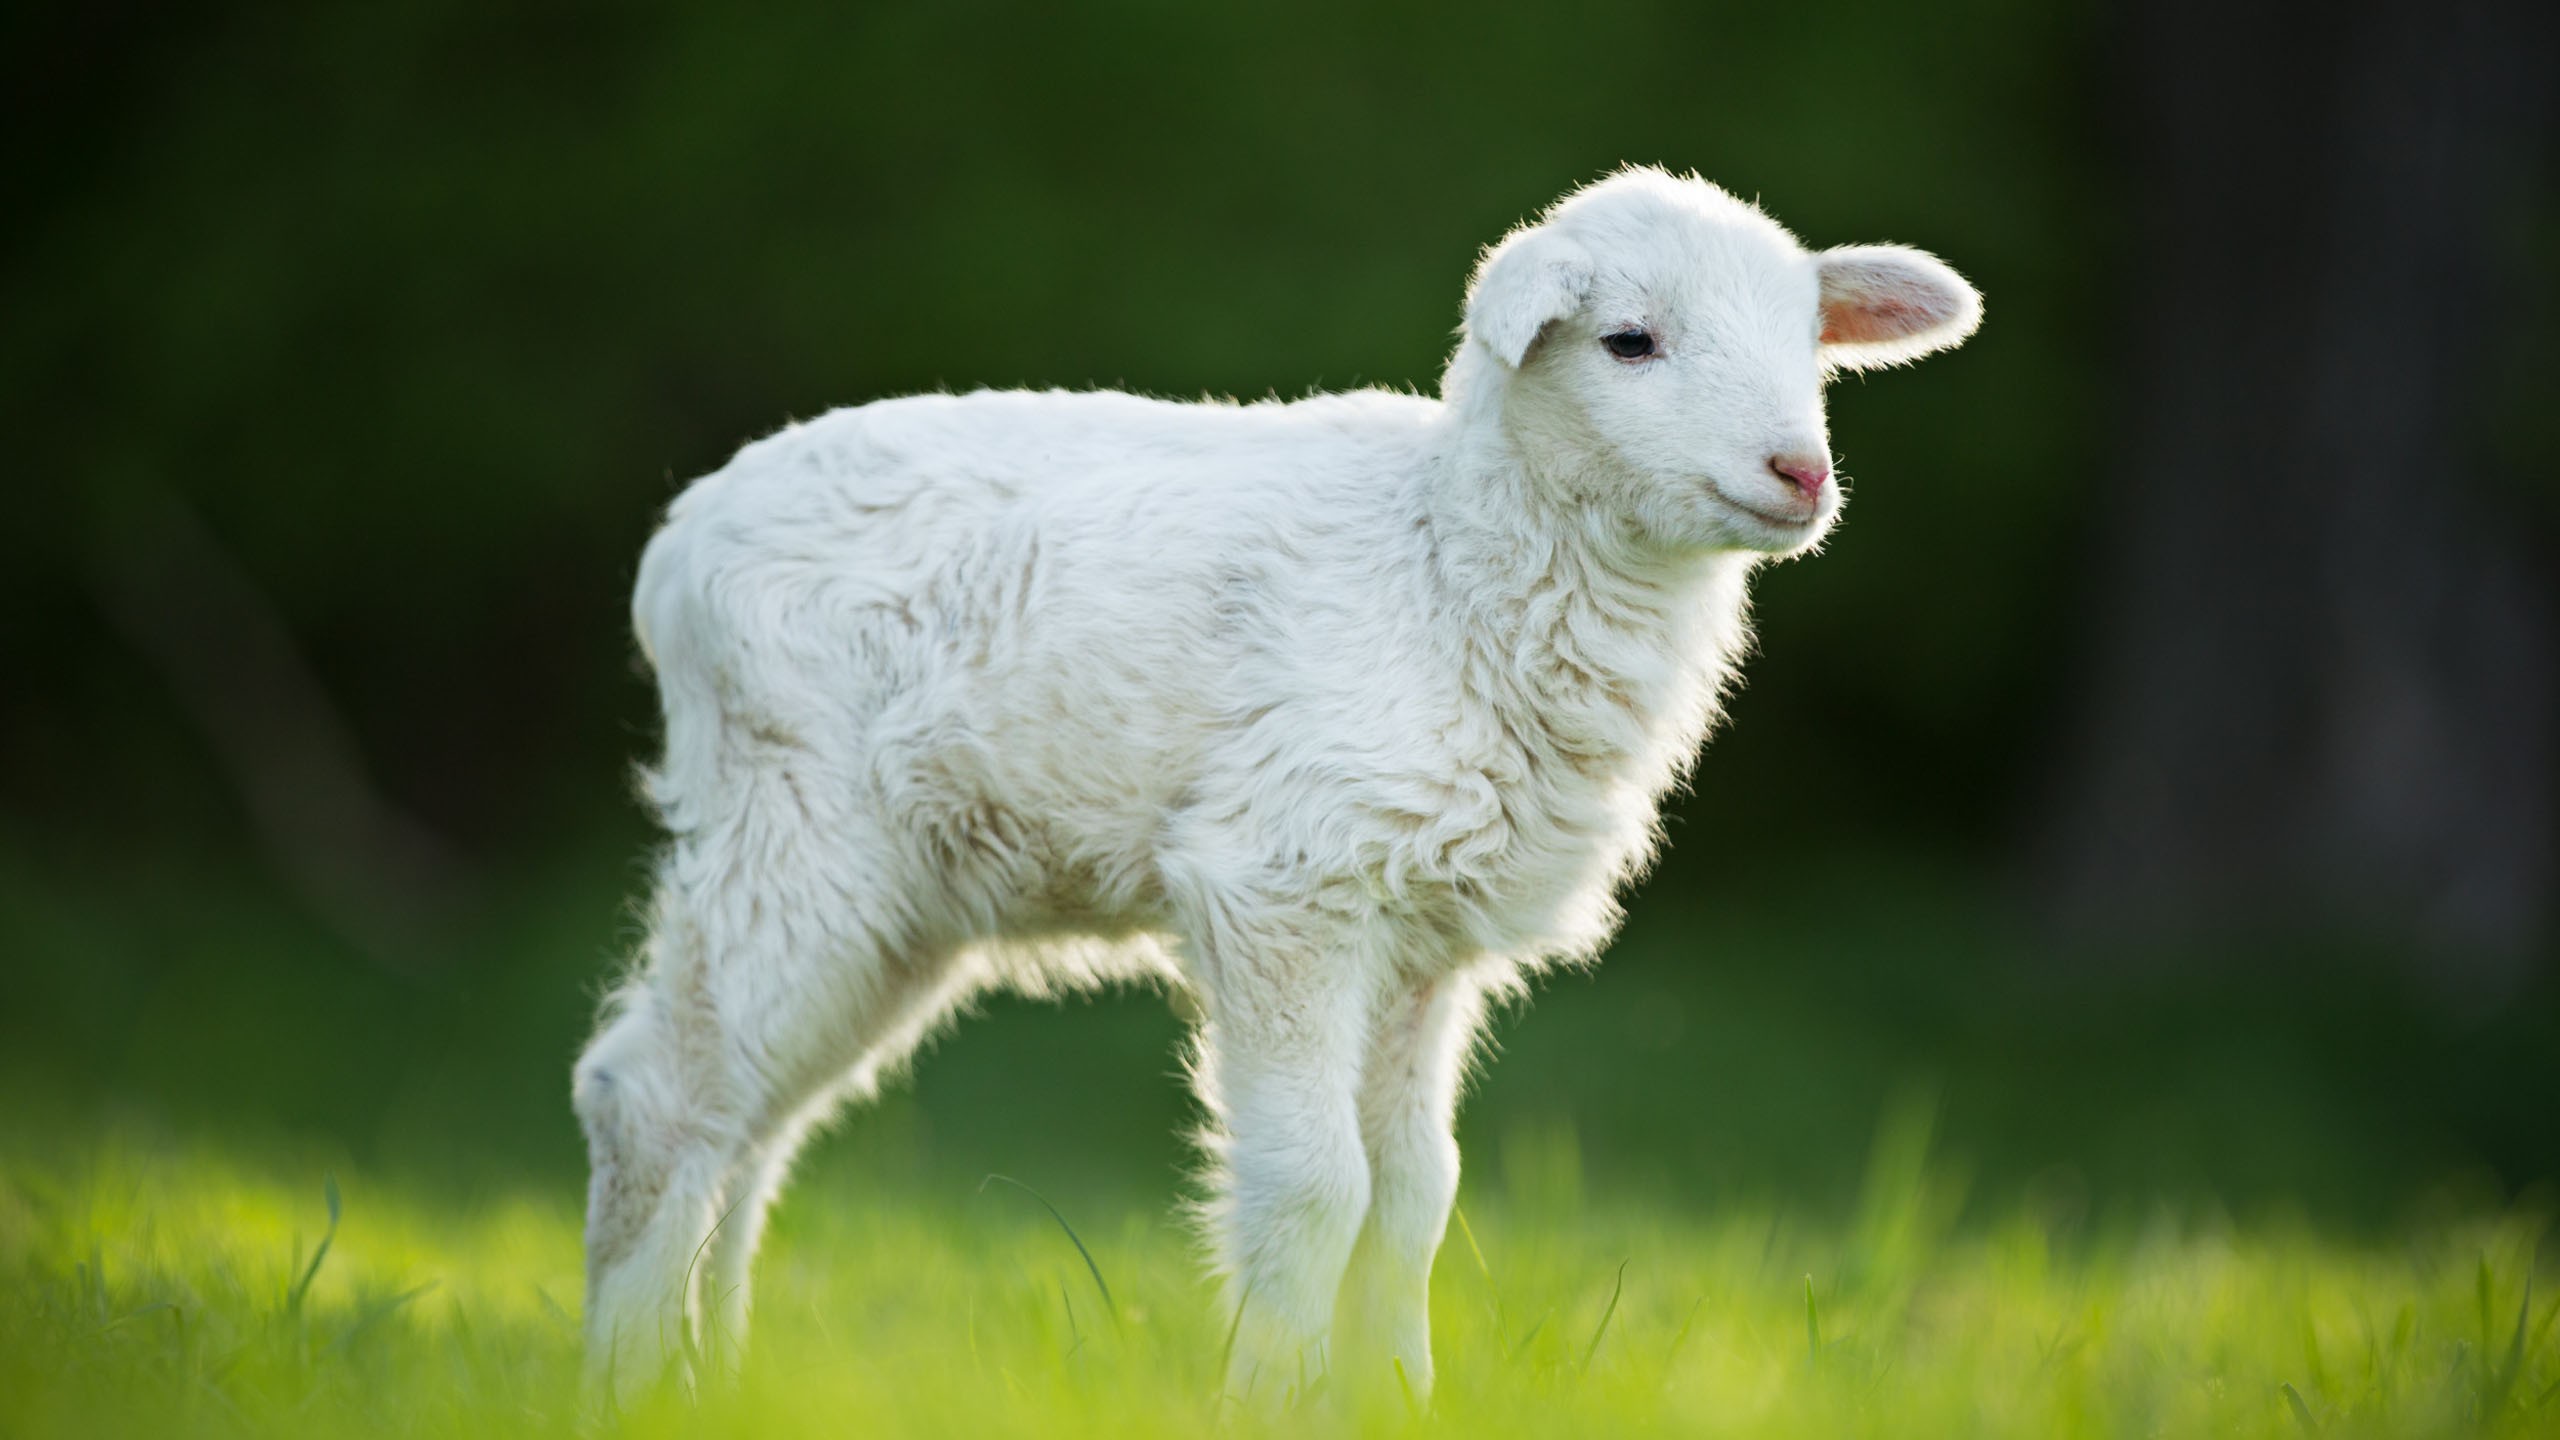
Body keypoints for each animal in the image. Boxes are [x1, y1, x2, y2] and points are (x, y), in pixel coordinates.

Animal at [573, 165, 1981, 1409]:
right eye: (1630, 341)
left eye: (1809, 340)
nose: (1799, 472)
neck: (1447, 560)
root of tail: (676, 546)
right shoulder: (1284, 885)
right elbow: (1317, 1186)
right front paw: (1274, 1396)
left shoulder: (1422, 938)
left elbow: (1414, 1196)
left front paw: (1396, 1397)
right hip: (794, 821)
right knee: (656, 1104)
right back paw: (633, 1386)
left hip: (898, 894)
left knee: (749, 1129)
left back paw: (720, 1380)